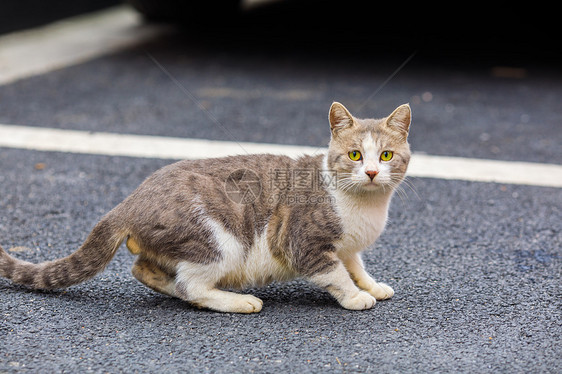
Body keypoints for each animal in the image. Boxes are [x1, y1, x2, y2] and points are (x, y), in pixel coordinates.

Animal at [1, 101, 412, 312]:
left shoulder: (348, 247)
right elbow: (335, 274)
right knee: (192, 285)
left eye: (386, 155)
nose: (372, 172)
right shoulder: (302, 243)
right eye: (355, 155)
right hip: (220, 242)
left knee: (144, 269)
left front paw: (372, 286)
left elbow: (356, 266)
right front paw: (356, 297)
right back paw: (238, 301)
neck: (366, 208)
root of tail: (130, 200)